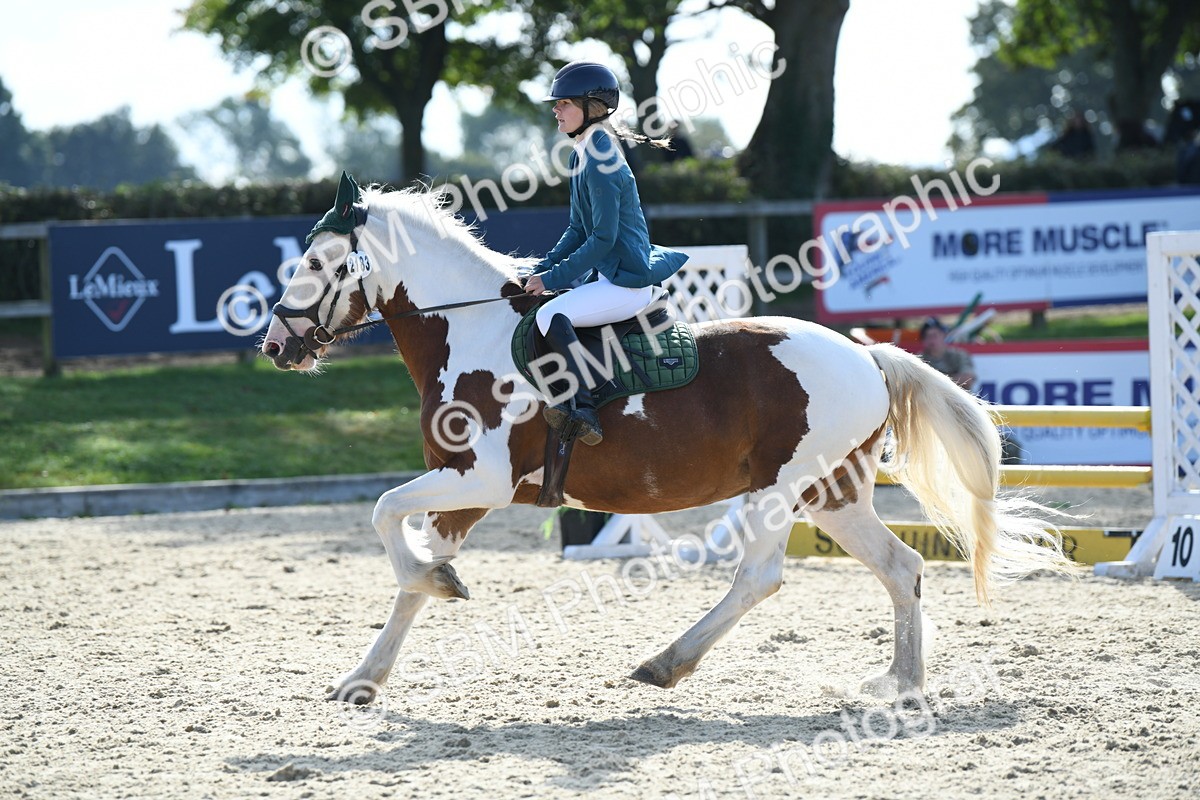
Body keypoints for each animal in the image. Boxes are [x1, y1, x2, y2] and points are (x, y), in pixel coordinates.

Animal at [261, 181, 1072, 705]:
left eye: (314, 264)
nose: (275, 346)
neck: (471, 332)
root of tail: (867, 354)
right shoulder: (458, 493)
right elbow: (404, 572)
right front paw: (365, 676)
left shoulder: (478, 481)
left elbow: (383, 518)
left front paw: (441, 584)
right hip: (833, 494)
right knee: (901, 567)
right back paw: (901, 684)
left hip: (781, 491)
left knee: (759, 578)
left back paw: (667, 663)